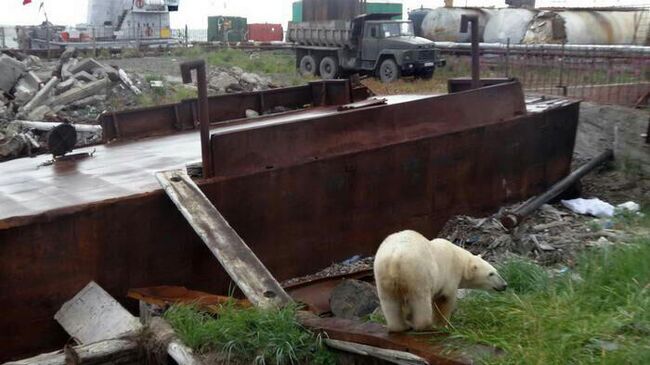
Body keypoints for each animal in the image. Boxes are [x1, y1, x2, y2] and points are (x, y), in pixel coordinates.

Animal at [370, 230, 506, 332]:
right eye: (491, 274)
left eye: (497, 271)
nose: (504, 285)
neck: (460, 259)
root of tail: (394, 258)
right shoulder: (449, 274)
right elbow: (444, 299)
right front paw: (444, 324)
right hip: (417, 273)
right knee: (421, 301)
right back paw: (426, 326)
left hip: (383, 275)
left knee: (390, 302)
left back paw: (400, 327)